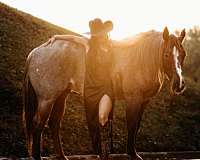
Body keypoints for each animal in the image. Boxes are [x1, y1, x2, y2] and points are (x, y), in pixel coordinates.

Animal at [23, 26, 186, 159]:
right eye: (166, 54)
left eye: (183, 55)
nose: (179, 85)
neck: (141, 60)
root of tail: (35, 53)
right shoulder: (133, 99)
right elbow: (132, 125)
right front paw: (132, 154)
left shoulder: (144, 101)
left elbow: (137, 126)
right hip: (47, 99)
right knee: (39, 124)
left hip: (61, 96)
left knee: (54, 123)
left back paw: (63, 156)